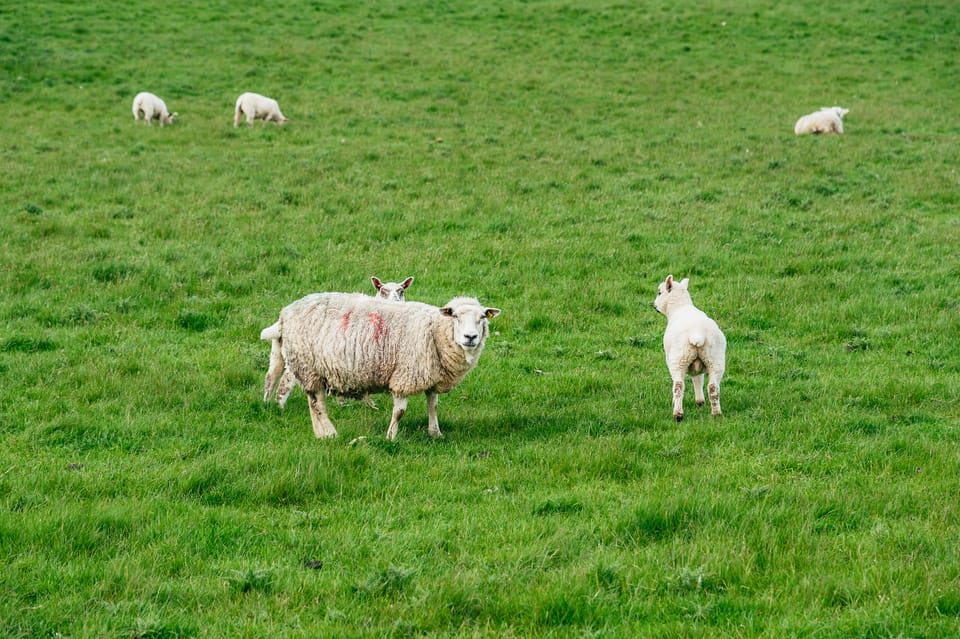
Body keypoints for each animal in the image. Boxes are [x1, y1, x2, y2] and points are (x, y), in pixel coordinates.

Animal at [262, 294, 502, 440]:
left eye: (482, 317)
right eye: (455, 316)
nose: (470, 337)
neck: (434, 331)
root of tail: (285, 313)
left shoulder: (431, 376)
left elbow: (433, 406)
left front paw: (435, 433)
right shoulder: (405, 375)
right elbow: (400, 412)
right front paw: (391, 436)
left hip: (310, 369)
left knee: (311, 401)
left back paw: (321, 434)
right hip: (308, 366)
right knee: (317, 404)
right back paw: (331, 434)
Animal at [652, 274, 728, 420]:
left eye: (659, 292)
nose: (654, 306)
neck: (680, 307)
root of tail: (697, 334)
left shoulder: (670, 360)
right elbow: (698, 378)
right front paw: (700, 401)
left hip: (679, 359)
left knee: (678, 386)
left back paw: (678, 414)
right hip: (715, 359)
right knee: (713, 387)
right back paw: (716, 413)